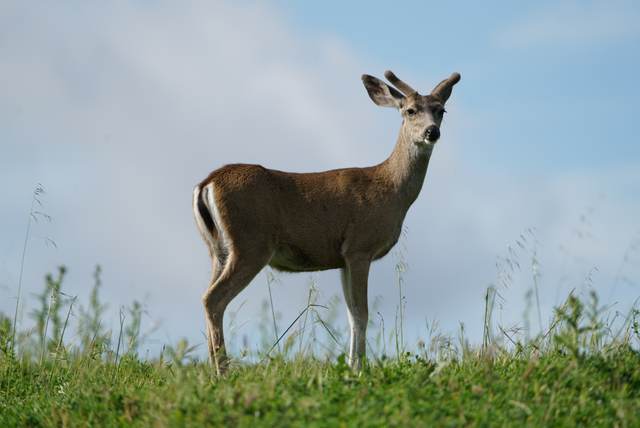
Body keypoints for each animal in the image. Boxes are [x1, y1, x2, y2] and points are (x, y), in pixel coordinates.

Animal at [193, 70, 461, 374]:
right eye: (410, 110)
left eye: (441, 110)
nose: (432, 132)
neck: (391, 190)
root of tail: (207, 183)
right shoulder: (360, 247)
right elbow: (362, 313)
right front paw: (359, 369)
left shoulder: (342, 258)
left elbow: (351, 314)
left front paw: (351, 365)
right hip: (251, 243)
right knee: (213, 298)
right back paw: (223, 372)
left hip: (218, 250)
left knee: (206, 296)